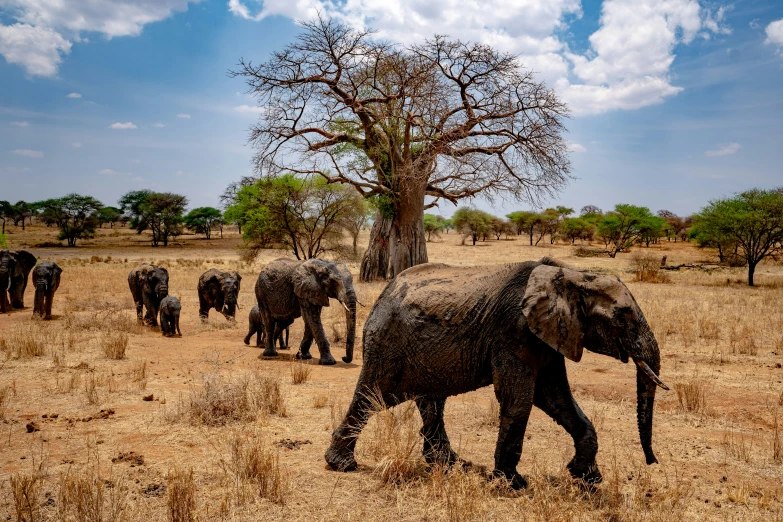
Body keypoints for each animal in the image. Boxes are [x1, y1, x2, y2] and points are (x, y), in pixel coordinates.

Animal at [324, 258, 668, 490]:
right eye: (621, 318)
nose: (653, 462)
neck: (571, 275)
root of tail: (385, 291)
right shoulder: (513, 332)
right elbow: (520, 399)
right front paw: (512, 484)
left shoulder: (551, 334)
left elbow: (556, 398)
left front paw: (587, 478)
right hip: (387, 342)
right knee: (372, 396)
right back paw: (341, 465)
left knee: (430, 402)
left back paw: (449, 465)